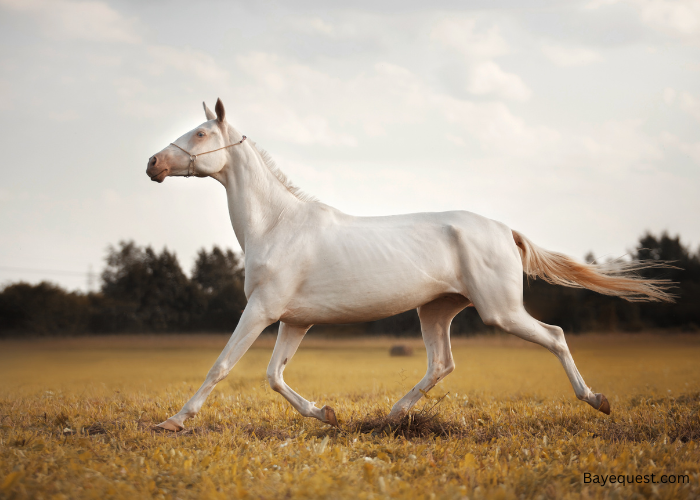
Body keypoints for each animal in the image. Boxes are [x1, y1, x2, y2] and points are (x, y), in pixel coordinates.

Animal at [146, 99, 672, 432]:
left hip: (499, 311)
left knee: (556, 336)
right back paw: (393, 415)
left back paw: (598, 401)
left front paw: (173, 421)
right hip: (436, 310)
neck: (277, 226)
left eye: (200, 133)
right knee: (442, 363)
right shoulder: (294, 320)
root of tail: (505, 230)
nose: (153, 163)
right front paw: (328, 414)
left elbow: (221, 366)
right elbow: (275, 377)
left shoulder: (261, 309)